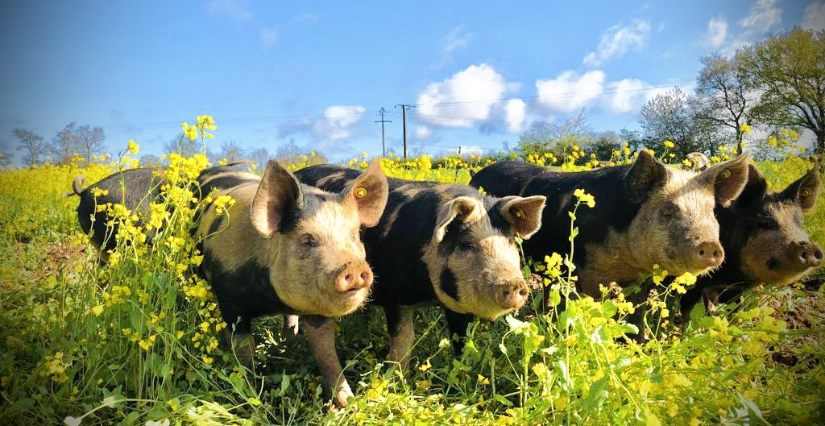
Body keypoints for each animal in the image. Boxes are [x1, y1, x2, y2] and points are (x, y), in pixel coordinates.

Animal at [195, 159, 388, 406]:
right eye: (307, 240)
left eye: (354, 236)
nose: (352, 267)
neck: (271, 301)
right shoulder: (231, 302)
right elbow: (244, 350)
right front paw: (253, 396)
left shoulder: (318, 311)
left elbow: (326, 351)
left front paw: (347, 403)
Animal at [296, 163, 548, 370]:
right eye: (467, 244)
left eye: (511, 242)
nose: (513, 283)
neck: (427, 293)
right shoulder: (395, 295)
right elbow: (404, 339)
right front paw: (397, 378)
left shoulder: (457, 307)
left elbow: (461, 338)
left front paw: (462, 370)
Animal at [466, 151, 748, 300]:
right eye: (669, 211)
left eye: (711, 212)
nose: (710, 245)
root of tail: (476, 175)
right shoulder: (589, 271)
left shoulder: (643, 279)